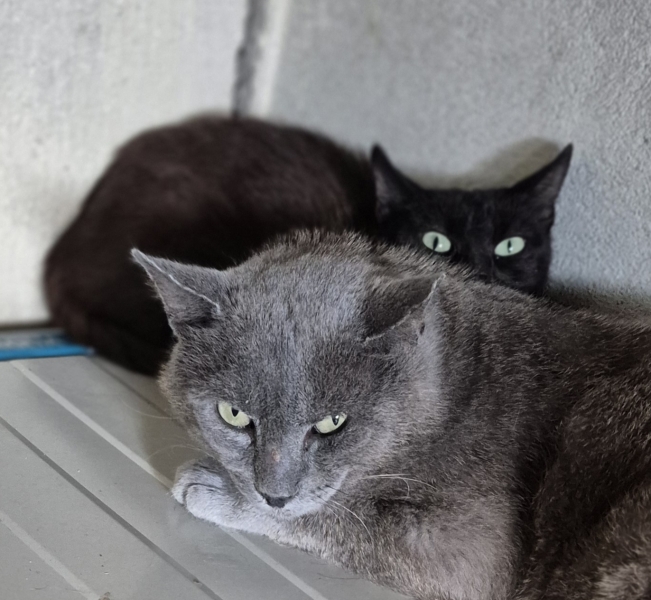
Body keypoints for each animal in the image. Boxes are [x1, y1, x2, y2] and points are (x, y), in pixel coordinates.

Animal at [134, 231, 651, 600]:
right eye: (234, 414)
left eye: (332, 424)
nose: (273, 495)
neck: (461, 389)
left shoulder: (473, 548)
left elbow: (350, 518)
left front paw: (213, 488)